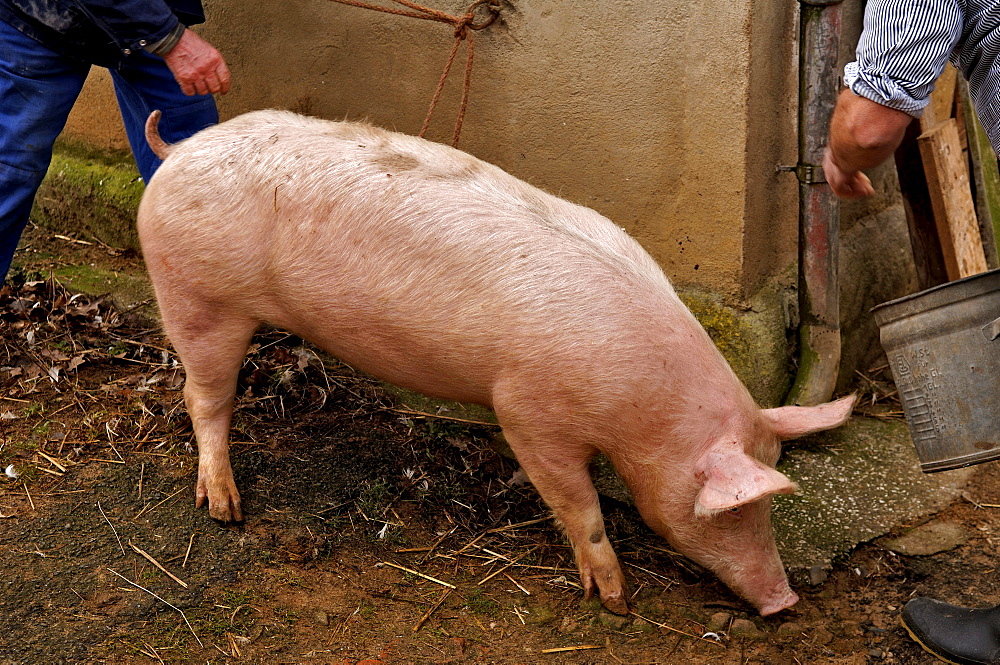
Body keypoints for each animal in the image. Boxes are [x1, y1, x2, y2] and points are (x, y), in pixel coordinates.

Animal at [137, 107, 856, 612]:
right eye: (732, 508)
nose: (784, 600)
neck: (639, 410)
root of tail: (181, 149)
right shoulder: (527, 408)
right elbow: (577, 502)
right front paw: (615, 599)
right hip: (196, 294)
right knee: (203, 396)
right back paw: (225, 508)